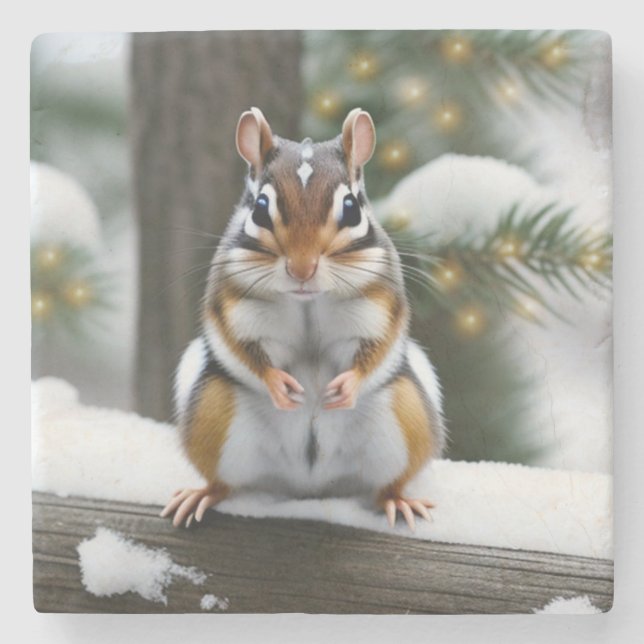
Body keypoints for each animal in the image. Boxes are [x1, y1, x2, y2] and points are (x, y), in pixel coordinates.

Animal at [161, 107, 446, 530]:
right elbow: (240, 346)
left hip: (404, 419)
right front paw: (277, 383)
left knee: (387, 484)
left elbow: (378, 346)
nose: (302, 268)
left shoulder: (381, 302)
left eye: (352, 208)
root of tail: (309, 487)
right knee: (224, 483)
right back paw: (203, 495)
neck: (307, 301)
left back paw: (398, 500)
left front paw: (347, 384)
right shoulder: (231, 302)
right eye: (260, 208)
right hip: (213, 414)